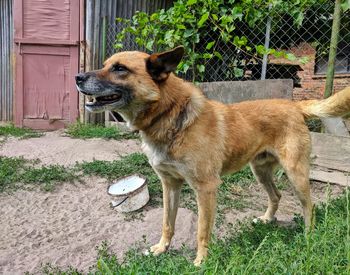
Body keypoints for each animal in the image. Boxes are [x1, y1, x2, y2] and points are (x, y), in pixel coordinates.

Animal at [76, 46, 350, 266]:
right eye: (105, 65)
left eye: (119, 68)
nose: (78, 77)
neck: (168, 116)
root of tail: (294, 105)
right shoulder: (169, 184)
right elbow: (167, 222)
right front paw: (161, 249)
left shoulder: (206, 188)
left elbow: (201, 230)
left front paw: (201, 261)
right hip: (260, 171)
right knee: (276, 195)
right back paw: (267, 219)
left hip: (296, 174)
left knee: (309, 205)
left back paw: (309, 235)